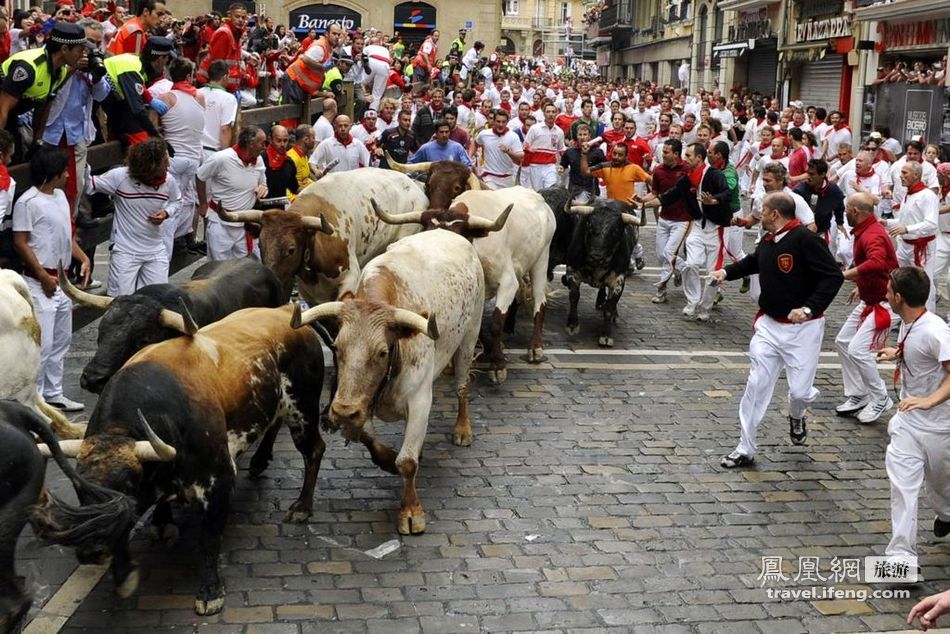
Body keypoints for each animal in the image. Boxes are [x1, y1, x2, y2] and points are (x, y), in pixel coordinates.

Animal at [294, 227, 498, 532]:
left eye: (382, 352)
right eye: (337, 348)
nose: (341, 412)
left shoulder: (419, 400)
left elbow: (407, 462)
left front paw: (411, 511)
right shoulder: (361, 404)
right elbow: (372, 442)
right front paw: (388, 460)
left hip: (468, 338)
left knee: (463, 386)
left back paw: (463, 429)